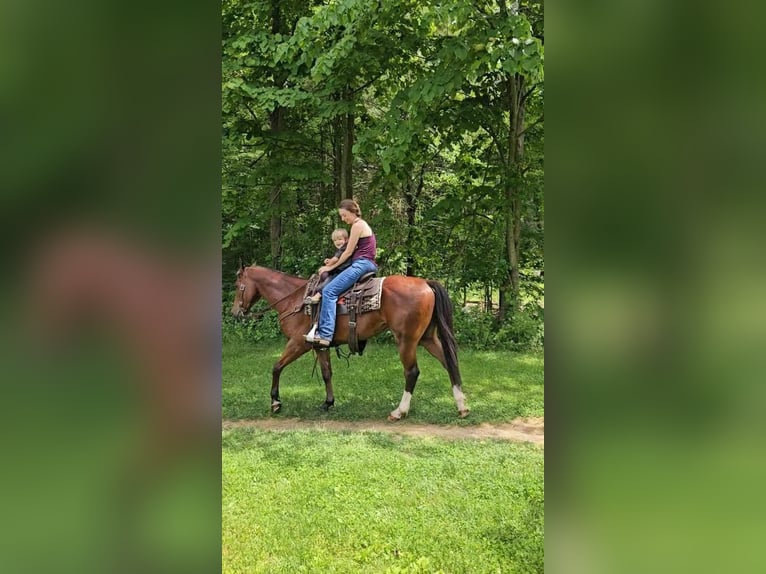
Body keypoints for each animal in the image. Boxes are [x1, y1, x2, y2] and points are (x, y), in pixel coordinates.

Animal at [230, 266, 468, 424]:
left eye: (238, 286)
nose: (235, 312)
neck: (296, 300)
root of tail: (426, 283)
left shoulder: (298, 343)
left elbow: (276, 367)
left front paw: (275, 402)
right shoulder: (320, 345)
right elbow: (327, 373)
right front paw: (328, 402)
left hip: (406, 340)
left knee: (412, 372)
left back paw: (399, 412)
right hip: (428, 338)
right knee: (450, 363)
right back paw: (462, 406)